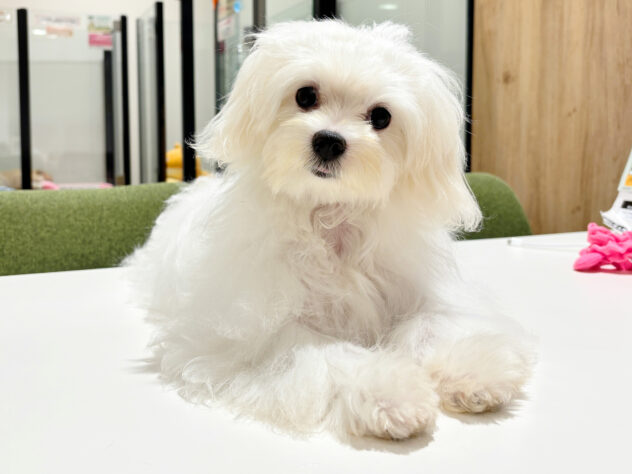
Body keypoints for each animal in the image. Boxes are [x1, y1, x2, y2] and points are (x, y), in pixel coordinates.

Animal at [126, 20, 532, 440]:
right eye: (306, 95)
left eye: (381, 117)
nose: (328, 141)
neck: (330, 216)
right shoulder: (258, 329)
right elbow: (328, 352)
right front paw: (391, 393)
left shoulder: (423, 292)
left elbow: (433, 323)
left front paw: (475, 373)